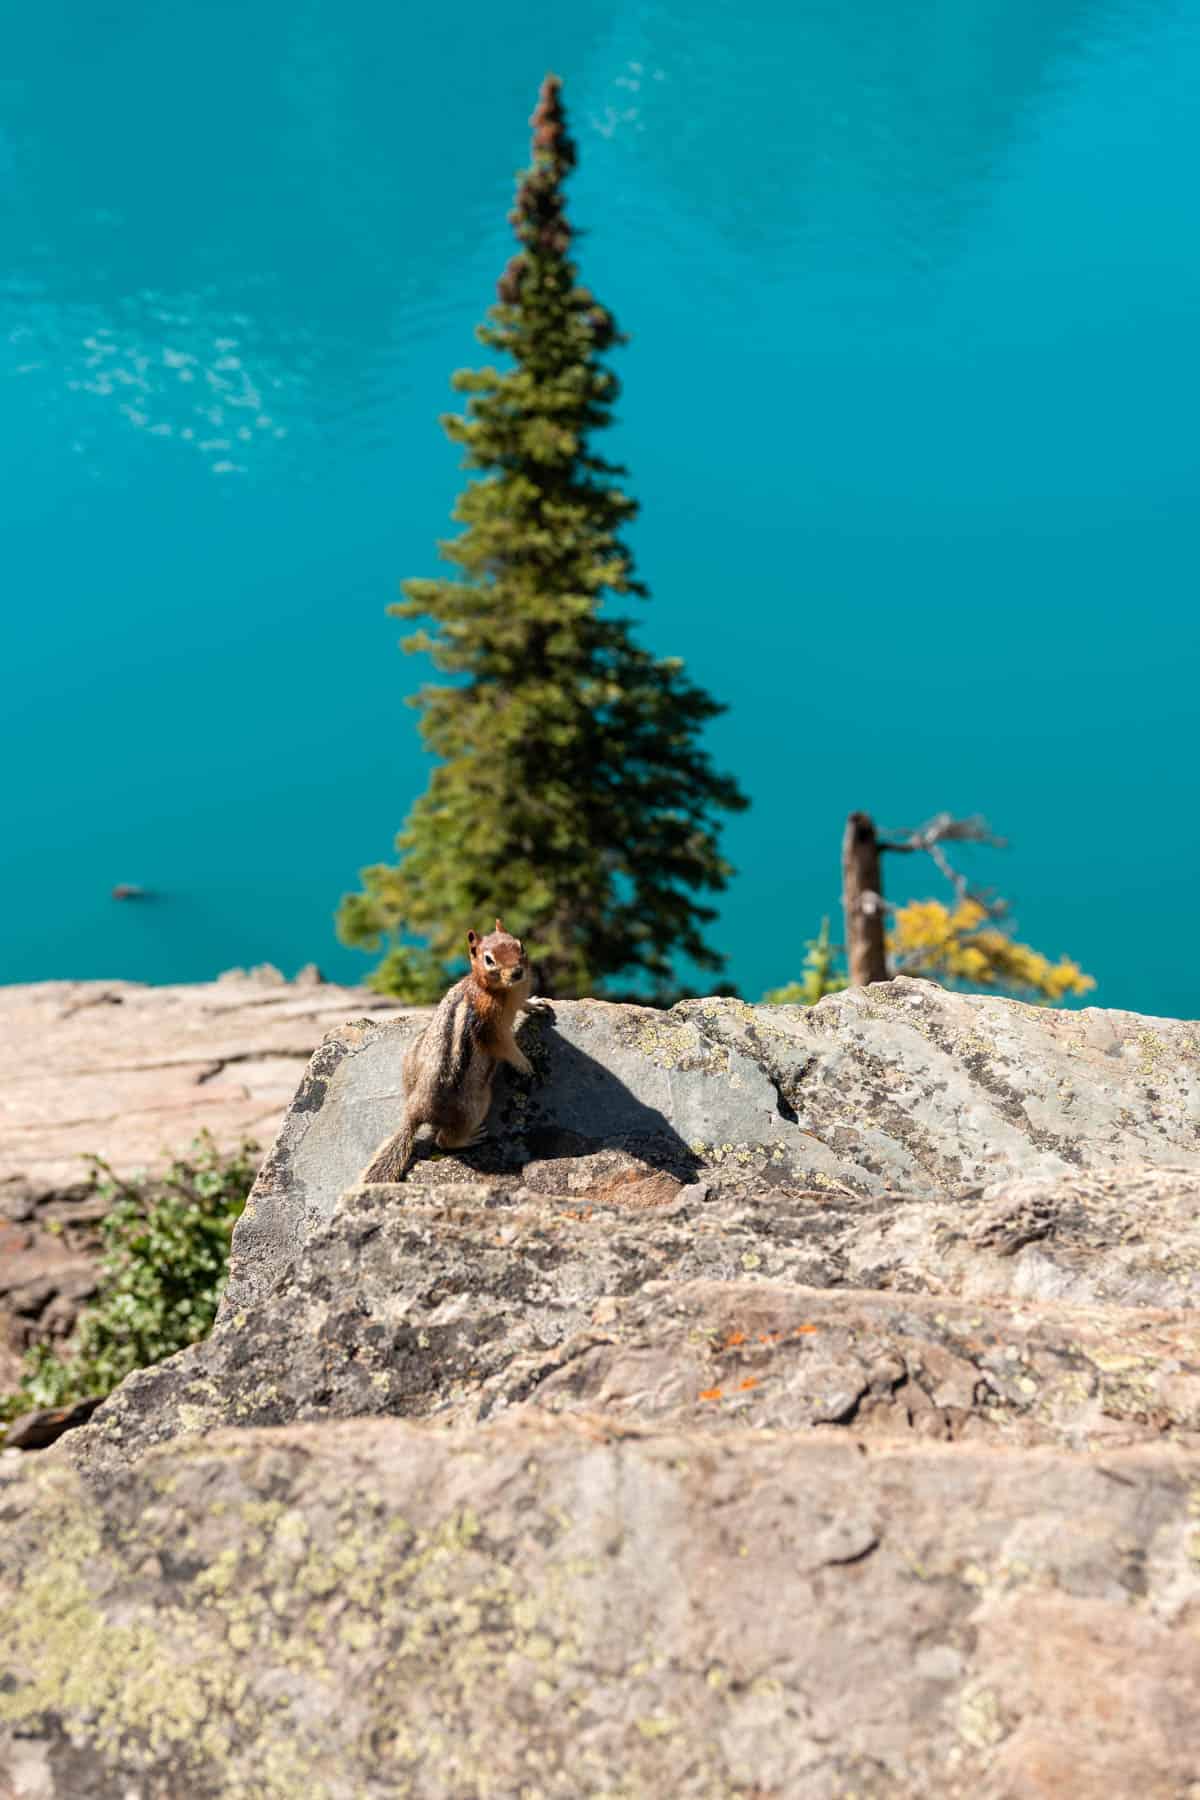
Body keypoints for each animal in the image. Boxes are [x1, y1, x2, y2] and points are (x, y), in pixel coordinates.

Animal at [358, 919, 548, 1183]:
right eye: (489, 959)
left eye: (520, 945)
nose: (517, 972)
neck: (495, 989)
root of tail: (415, 1111)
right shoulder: (491, 1028)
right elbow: (506, 1047)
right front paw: (525, 1064)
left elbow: (524, 1003)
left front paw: (536, 1003)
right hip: (476, 1105)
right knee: (444, 1141)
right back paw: (470, 1138)